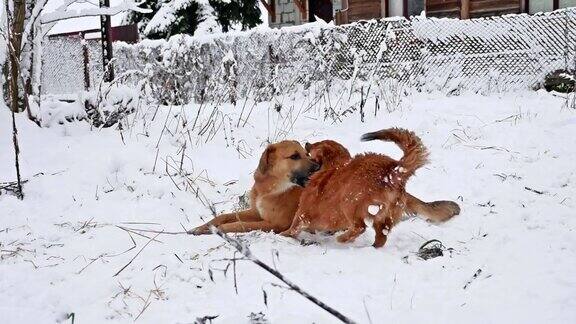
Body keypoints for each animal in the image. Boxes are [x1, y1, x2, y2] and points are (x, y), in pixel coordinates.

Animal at [191, 140, 322, 234]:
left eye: (306, 154)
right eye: (294, 156)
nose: (318, 167)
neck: (270, 189)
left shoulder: (275, 224)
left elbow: (241, 225)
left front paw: (219, 229)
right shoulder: (256, 213)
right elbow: (224, 216)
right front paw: (202, 227)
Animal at [280, 128, 460, 248]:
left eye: (317, 145)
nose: (307, 143)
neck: (334, 166)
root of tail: (392, 171)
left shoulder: (303, 213)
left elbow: (295, 226)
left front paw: (283, 236)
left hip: (349, 202)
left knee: (359, 227)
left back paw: (343, 239)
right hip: (385, 217)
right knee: (381, 237)